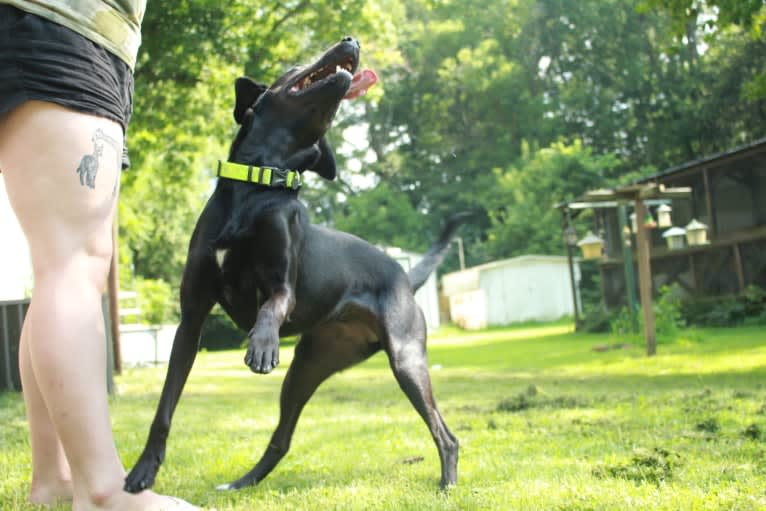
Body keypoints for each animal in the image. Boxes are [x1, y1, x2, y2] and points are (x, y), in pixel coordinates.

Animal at [125, 36, 460, 492]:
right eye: (295, 64)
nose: (352, 39)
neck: (257, 187)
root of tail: (404, 278)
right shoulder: (192, 318)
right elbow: (164, 408)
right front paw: (143, 470)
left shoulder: (283, 286)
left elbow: (270, 305)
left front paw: (262, 344)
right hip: (307, 368)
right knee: (281, 439)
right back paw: (242, 483)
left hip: (406, 359)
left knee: (446, 434)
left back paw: (447, 484)